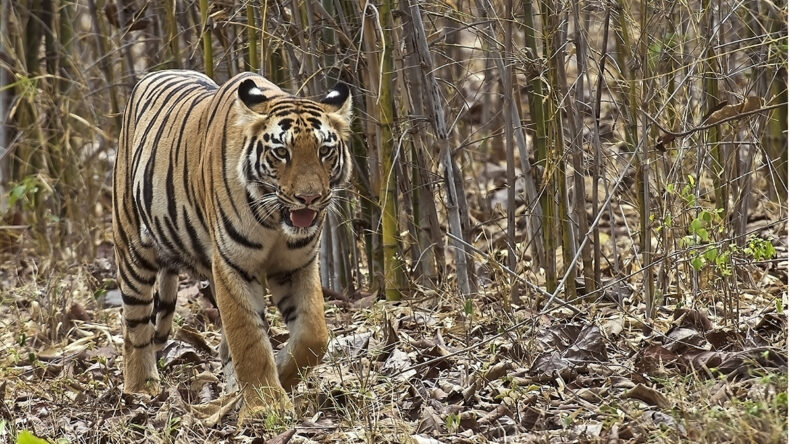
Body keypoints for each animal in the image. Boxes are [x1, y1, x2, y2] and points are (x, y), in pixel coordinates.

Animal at [113, 70, 354, 420]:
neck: (275, 221)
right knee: (135, 326)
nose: (309, 198)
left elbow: (313, 334)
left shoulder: (297, 264)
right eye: (282, 153)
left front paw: (281, 374)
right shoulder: (233, 263)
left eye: (325, 151)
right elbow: (249, 337)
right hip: (133, 249)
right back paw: (140, 387)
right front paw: (266, 404)